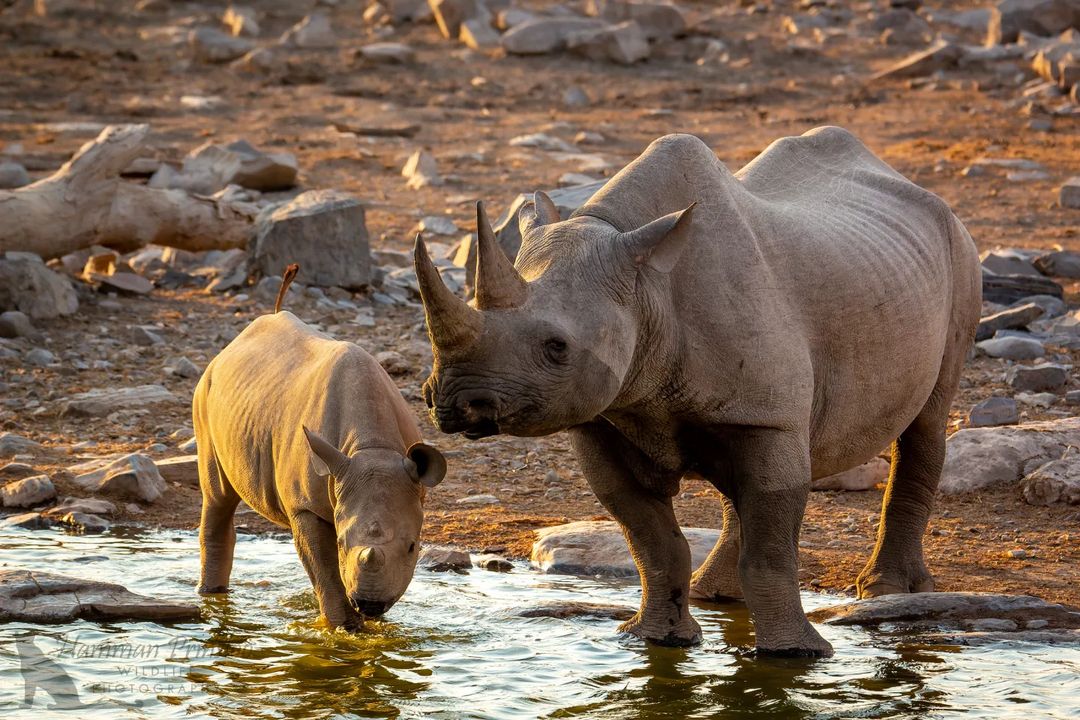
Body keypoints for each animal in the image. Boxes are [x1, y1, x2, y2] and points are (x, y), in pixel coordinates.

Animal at [193, 267, 447, 630]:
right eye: (341, 542)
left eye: (413, 547)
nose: (369, 603)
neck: (372, 448)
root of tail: (234, 344)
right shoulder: (305, 506)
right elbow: (326, 569)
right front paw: (344, 628)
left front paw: (374, 627)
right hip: (206, 390)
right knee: (218, 497)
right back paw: (212, 597)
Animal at [413, 127, 980, 656]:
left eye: (557, 347)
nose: (459, 404)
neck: (645, 286)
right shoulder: (604, 418)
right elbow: (653, 541)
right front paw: (652, 640)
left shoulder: (766, 416)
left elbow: (770, 549)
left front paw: (796, 655)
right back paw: (718, 595)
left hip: (958, 251)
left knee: (926, 419)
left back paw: (885, 591)